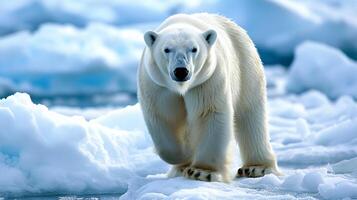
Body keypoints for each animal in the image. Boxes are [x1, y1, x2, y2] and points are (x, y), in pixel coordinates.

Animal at [136, 12, 278, 181]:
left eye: (194, 49)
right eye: (167, 49)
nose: (181, 71)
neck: (182, 87)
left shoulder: (207, 80)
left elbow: (210, 114)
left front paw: (202, 171)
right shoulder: (158, 87)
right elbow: (164, 117)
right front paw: (185, 155)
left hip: (246, 67)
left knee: (251, 116)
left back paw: (256, 168)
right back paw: (179, 169)